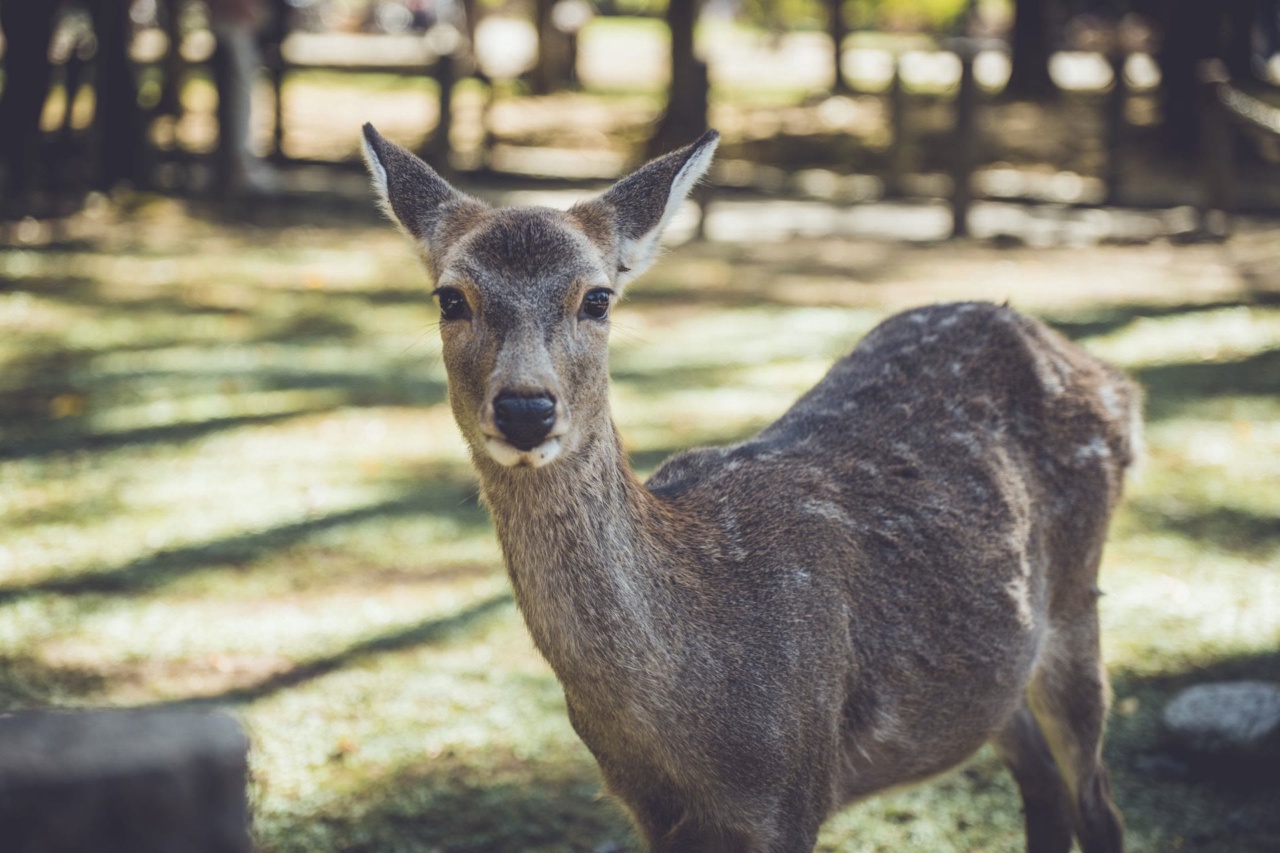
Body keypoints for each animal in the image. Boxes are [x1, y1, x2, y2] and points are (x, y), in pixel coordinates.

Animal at [360, 124, 1137, 853]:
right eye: (450, 298)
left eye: (598, 298)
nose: (526, 407)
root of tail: (1112, 379)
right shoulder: (651, 812)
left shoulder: (793, 787)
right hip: (1001, 671)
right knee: (1044, 786)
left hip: (1077, 602)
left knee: (1099, 802)